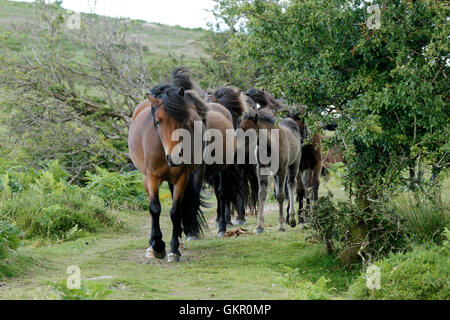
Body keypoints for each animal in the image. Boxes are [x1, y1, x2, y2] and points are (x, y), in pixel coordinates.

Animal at [128, 85, 206, 262]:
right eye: (158, 121)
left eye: (182, 120)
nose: (175, 155)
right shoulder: (151, 177)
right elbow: (154, 208)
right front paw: (157, 246)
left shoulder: (182, 178)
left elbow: (175, 211)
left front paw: (174, 250)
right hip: (145, 178)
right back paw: (151, 245)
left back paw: (179, 243)